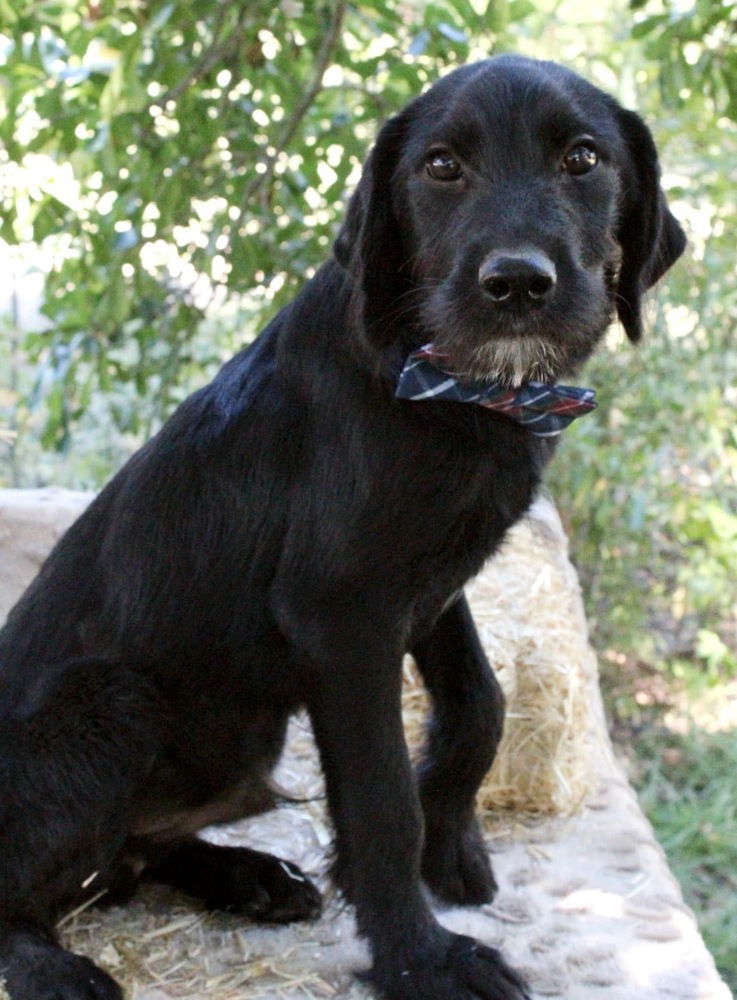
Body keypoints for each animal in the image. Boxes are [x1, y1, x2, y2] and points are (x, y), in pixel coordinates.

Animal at [0, 54, 684, 1000]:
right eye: (441, 167)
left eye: (583, 158)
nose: (515, 285)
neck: (444, 388)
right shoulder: (344, 616)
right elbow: (379, 799)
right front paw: (419, 958)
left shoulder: (432, 585)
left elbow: (482, 701)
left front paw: (452, 843)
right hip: (112, 703)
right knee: (35, 884)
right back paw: (55, 965)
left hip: (236, 747)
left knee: (134, 853)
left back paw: (248, 875)